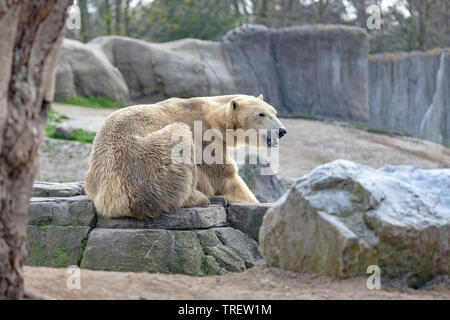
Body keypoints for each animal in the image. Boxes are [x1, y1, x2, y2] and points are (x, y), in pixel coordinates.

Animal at [85, 94, 284, 220]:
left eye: (274, 112)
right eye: (261, 114)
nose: (282, 131)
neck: (214, 116)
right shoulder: (204, 137)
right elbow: (224, 176)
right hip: (146, 162)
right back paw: (200, 198)